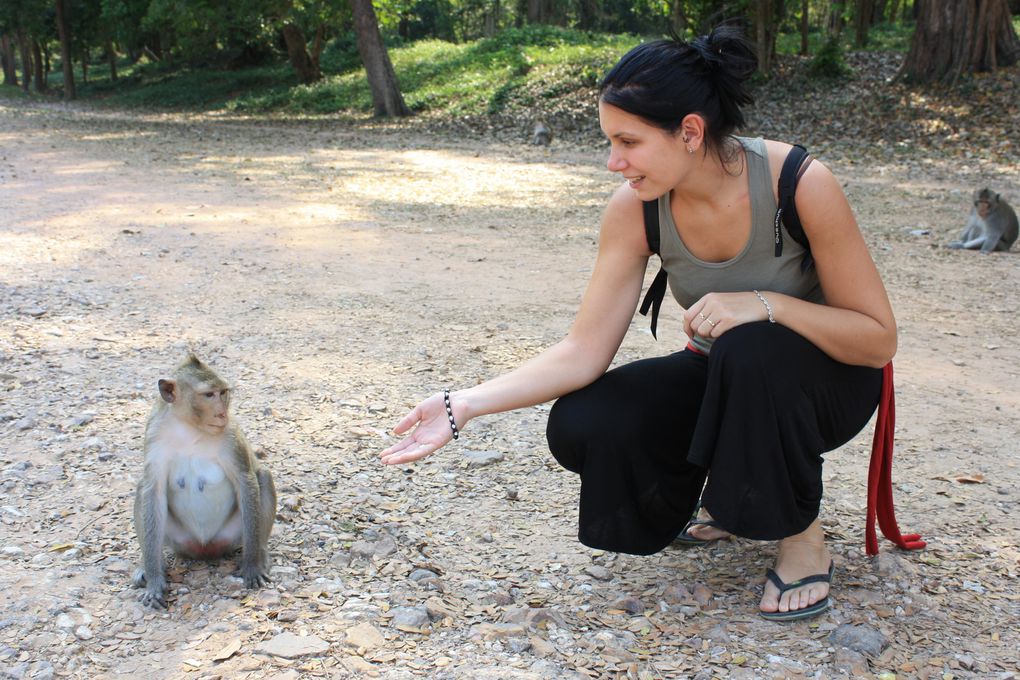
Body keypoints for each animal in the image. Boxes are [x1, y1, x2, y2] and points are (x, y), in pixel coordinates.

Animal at [135, 354, 279, 607]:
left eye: (223, 393)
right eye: (209, 395)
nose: (222, 414)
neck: (188, 429)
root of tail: (204, 549)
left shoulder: (231, 435)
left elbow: (246, 481)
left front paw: (252, 566)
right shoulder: (153, 435)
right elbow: (153, 491)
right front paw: (154, 582)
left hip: (231, 535)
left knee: (263, 476)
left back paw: (260, 553)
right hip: (180, 540)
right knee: (141, 489)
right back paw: (150, 567)